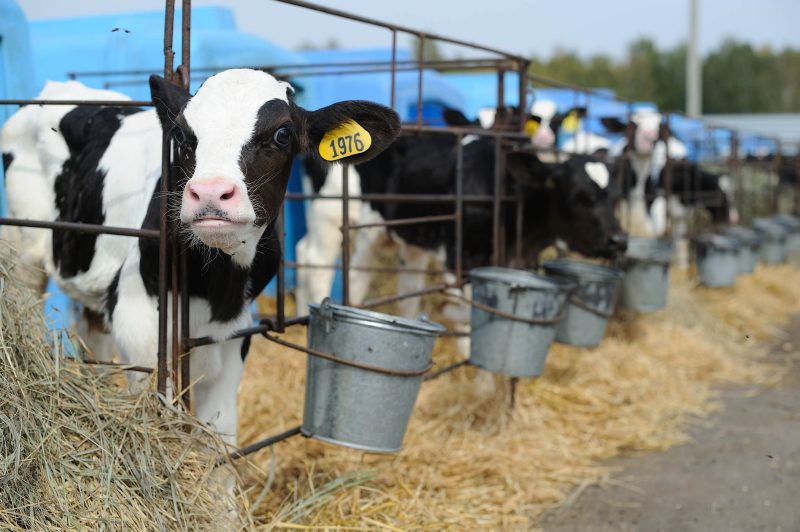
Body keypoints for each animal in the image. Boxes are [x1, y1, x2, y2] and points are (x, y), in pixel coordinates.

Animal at [0, 70, 400, 444]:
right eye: (181, 136)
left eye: (282, 134)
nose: (209, 192)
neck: (213, 285)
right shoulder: (136, 318)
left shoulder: (234, 330)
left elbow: (220, 434)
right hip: (23, 252)